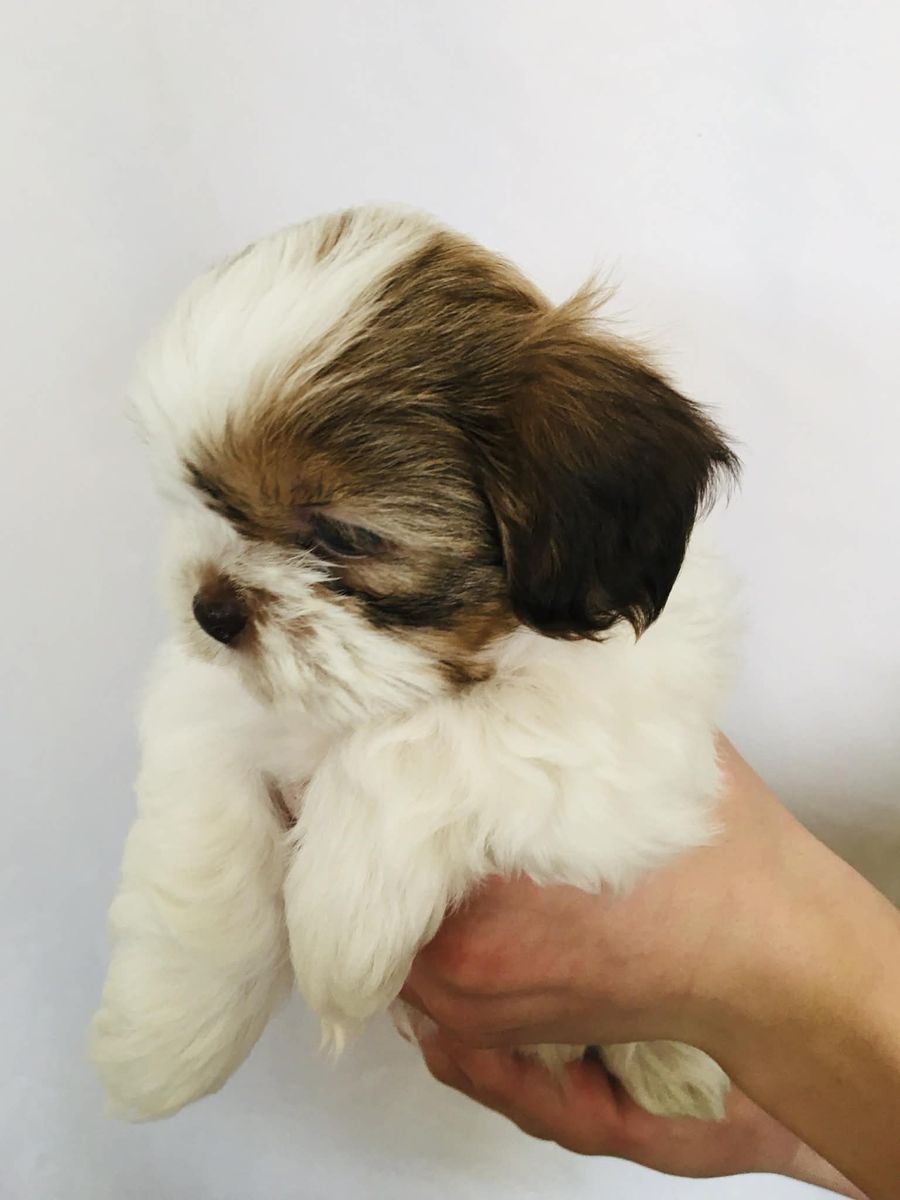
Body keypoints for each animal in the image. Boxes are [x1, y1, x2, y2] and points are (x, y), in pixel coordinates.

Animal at [91, 205, 738, 1122]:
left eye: (343, 534)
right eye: (200, 500)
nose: (212, 610)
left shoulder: (618, 744)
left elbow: (425, 741)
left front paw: (340, 916)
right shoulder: (210, 708)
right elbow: (205, 852)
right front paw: (170, 1034)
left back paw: (668, 1055)